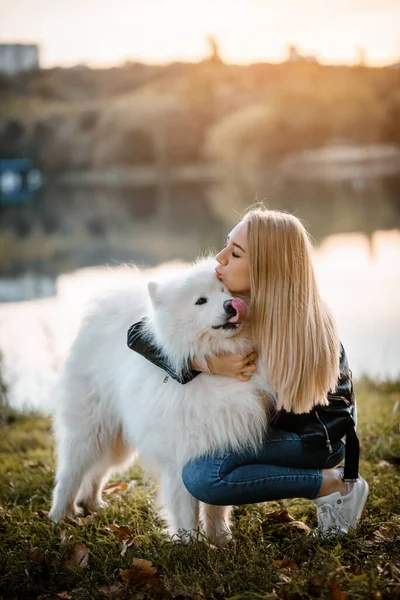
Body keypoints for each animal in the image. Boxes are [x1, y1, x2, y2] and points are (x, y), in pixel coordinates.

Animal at [49, 258, 276, 544]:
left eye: (227, 291)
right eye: (200, 301)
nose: (230, 305)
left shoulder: (217, 444)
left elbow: (216, 507)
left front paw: (221, 539)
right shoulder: (182, 454)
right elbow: (187, 508)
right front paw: (190, 543)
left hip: (116, 440)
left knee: (98, 471)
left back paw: (92, 504)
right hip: (91, 429)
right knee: (71, 471)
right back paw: (60, 515)